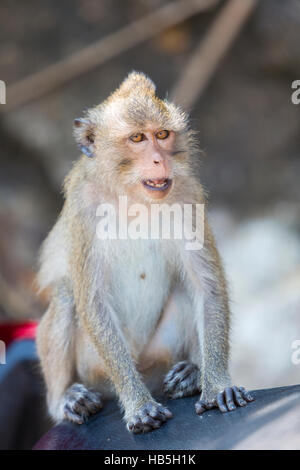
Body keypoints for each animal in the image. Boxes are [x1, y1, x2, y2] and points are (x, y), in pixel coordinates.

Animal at [36, 70, 254, 434]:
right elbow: (93, 302)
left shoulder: (188, 195)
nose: (159, 159)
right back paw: (64, 398)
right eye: (137, 138)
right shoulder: (83, 206)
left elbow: (206, 287)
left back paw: (191, 372)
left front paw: (216, 385)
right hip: (94, 369)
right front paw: (138, 405)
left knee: (184, 290)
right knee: (67, 294)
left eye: (162, 134)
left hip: (158, 355)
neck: (132, 196)